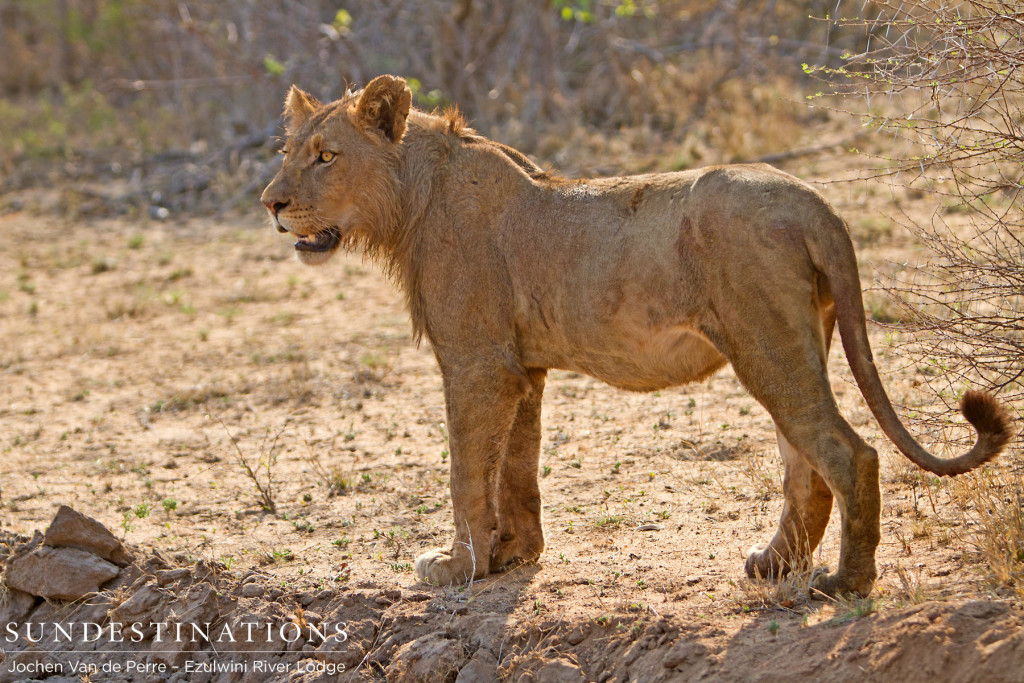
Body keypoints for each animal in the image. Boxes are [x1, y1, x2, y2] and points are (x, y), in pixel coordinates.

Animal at [260, 76, 1011, 598]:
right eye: (289, 153)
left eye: (326, 156)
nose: (272, 203)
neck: (412, 196)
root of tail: (814, 201)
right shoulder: (520, 368)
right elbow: (517, 466)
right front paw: (512, 555)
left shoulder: (477, 364)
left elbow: (466, 473)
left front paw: (456, 565)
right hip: (796, 341)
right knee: (805, 466)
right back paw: (774, 564)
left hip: (766, 345)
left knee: (849, 455)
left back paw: (845, 584)